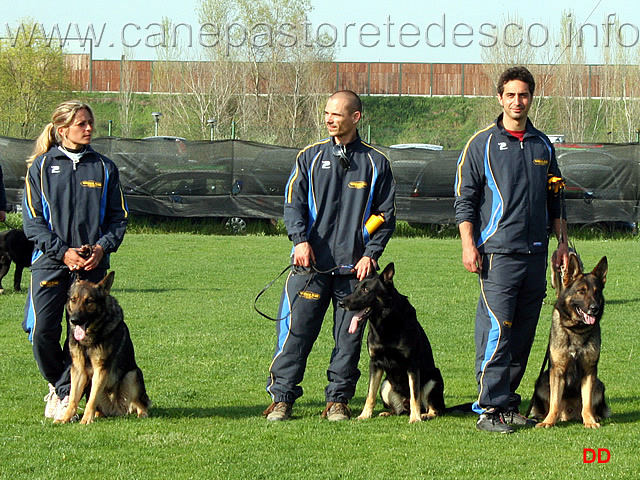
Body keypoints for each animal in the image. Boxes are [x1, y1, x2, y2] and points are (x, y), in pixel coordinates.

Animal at [53, 272, 150, 426]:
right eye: (73, 300)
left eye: (89, 301)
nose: (74, 320)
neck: (89, 337)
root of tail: (117, 411)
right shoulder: (78, 370)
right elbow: (73, 399)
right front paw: (65, 418)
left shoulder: (101, 369)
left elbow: (92, 400)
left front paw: (86, 419)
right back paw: (98, 414)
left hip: (132, 375)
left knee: (140, 404)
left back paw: (142, 414)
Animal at [340, 262, 444, 424]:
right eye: (356, 287)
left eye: (365, 290)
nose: (341, 303)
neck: (386, 323)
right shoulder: (375, 363)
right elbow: (370, 394)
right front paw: (365, 415)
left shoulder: (412, 364)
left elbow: (415, 395)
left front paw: (415, 418)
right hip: (386, 384)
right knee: (399, 410)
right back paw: (389, 412)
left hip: (433, 379)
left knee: (431, 407)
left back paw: (424, 414)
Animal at [528, 255, 608, 428]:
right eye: (581, 291)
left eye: (597, 292)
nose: (595, 308)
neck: (576, 329)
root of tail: (571, 414)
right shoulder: (558, 371)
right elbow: (554, 402)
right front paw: (548, 421)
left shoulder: (589, 370)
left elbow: (587, 402)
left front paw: (590, 421)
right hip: (542, 382)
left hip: (599, 385)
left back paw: (594, 416)